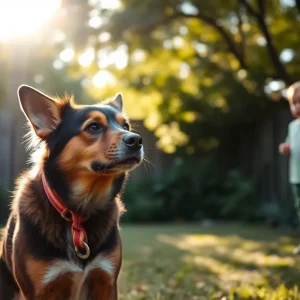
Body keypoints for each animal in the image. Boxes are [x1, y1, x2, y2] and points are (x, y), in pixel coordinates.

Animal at [0, 85, 144, 298]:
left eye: (125, 126)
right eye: (93, 127)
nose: (137, 140)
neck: (78, 211)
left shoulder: (106, 282)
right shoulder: (40, 290)